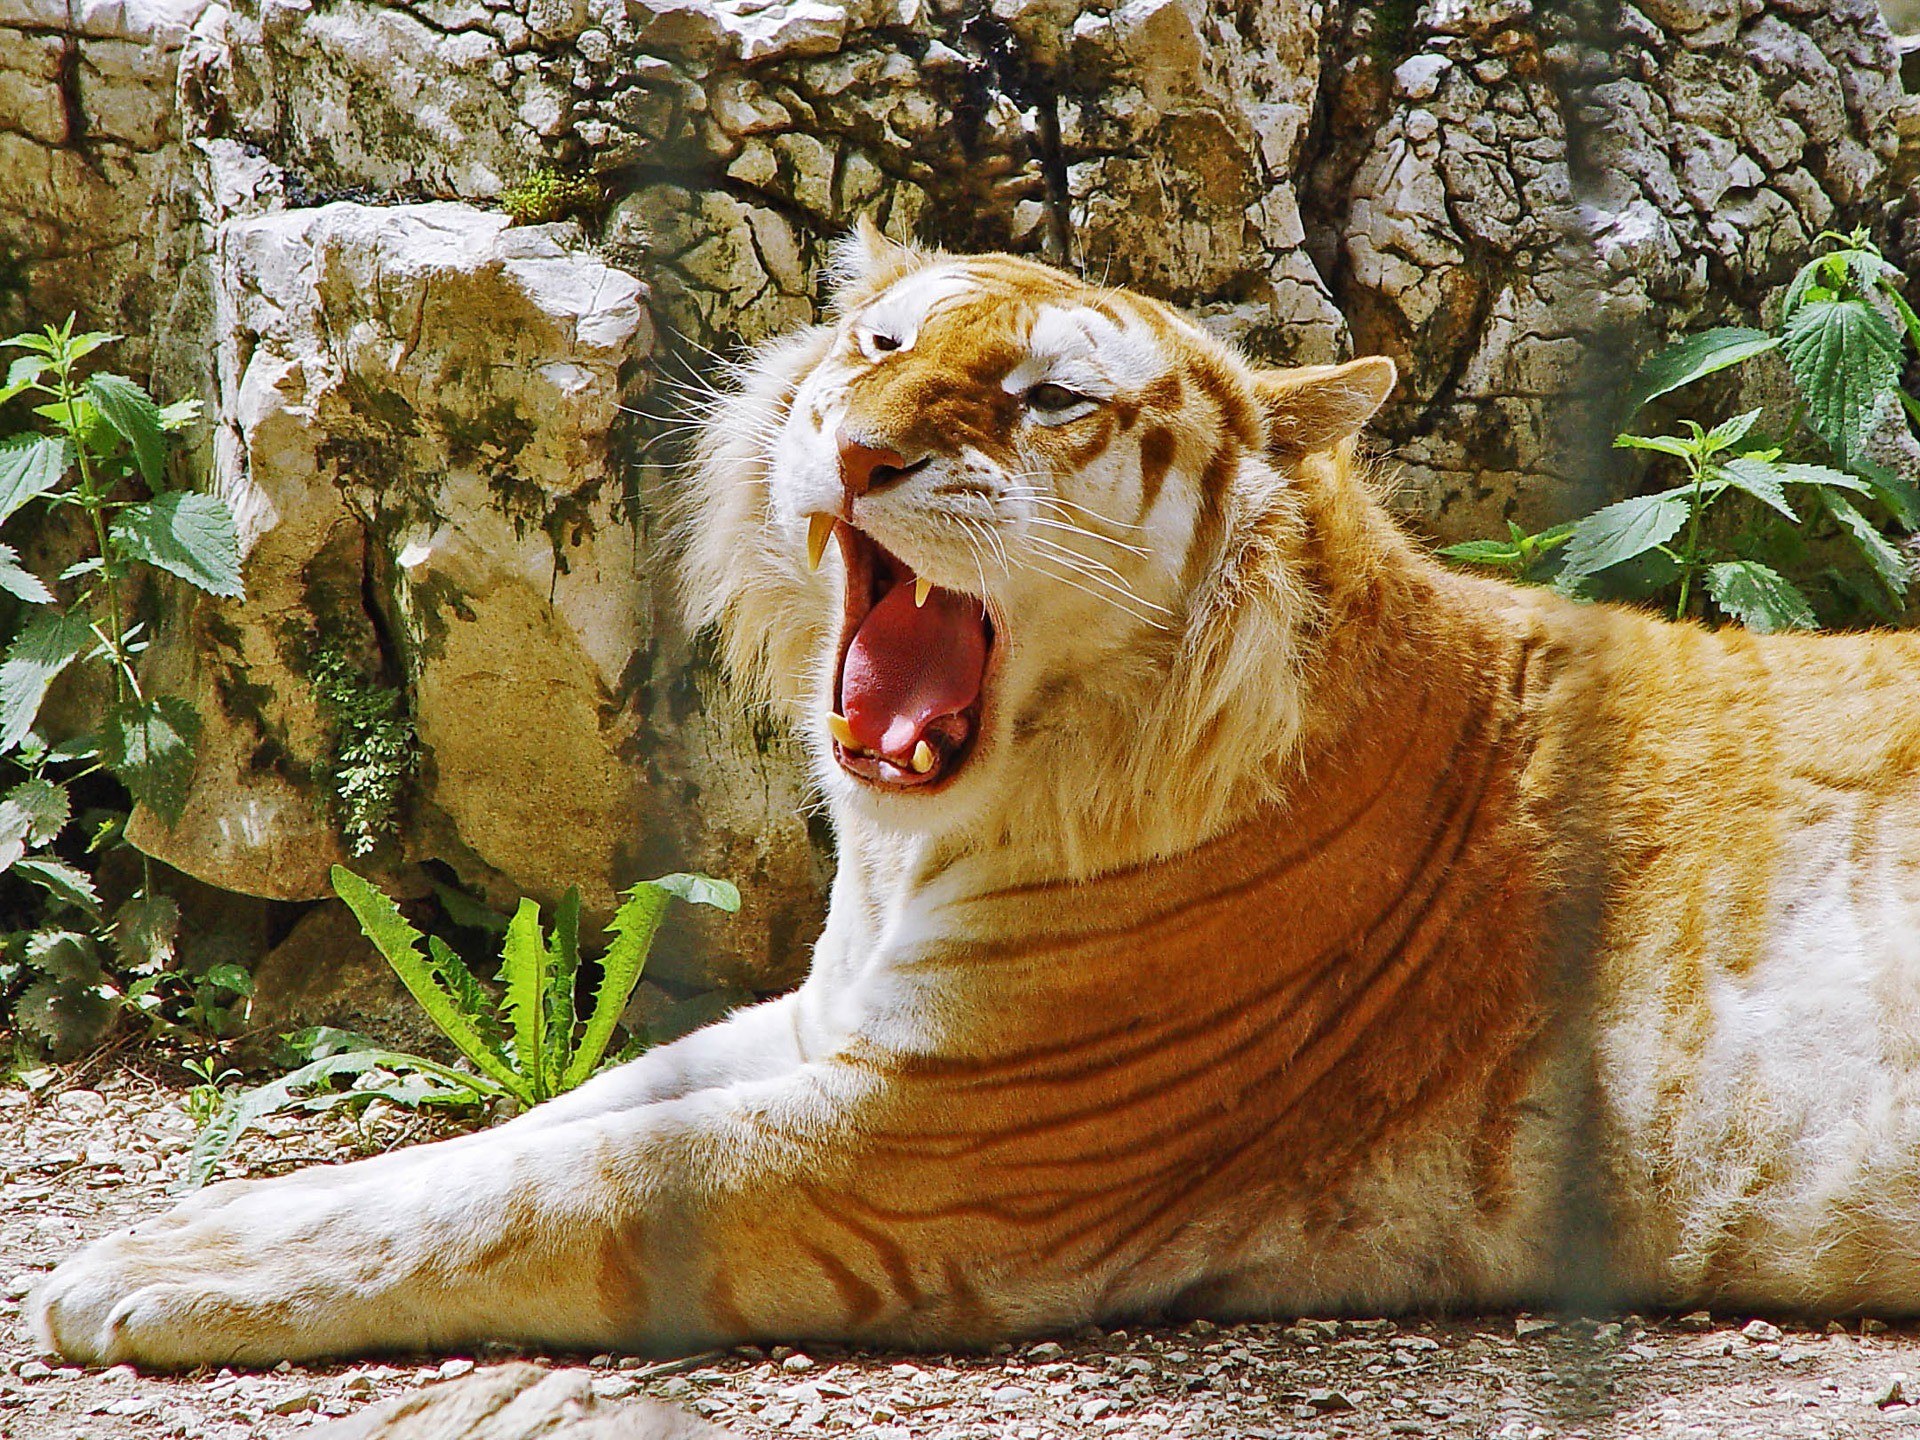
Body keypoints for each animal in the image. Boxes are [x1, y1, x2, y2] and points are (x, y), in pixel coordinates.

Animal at [32, 221, 1920, 1369]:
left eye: (1049, 398)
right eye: (876, 340)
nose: (861, 445)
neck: (923, 841)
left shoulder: (935, 1142)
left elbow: (544, 1190)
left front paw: (140, 1273)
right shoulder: (836, 1028)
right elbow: (535, 1131)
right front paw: (195, 1220)